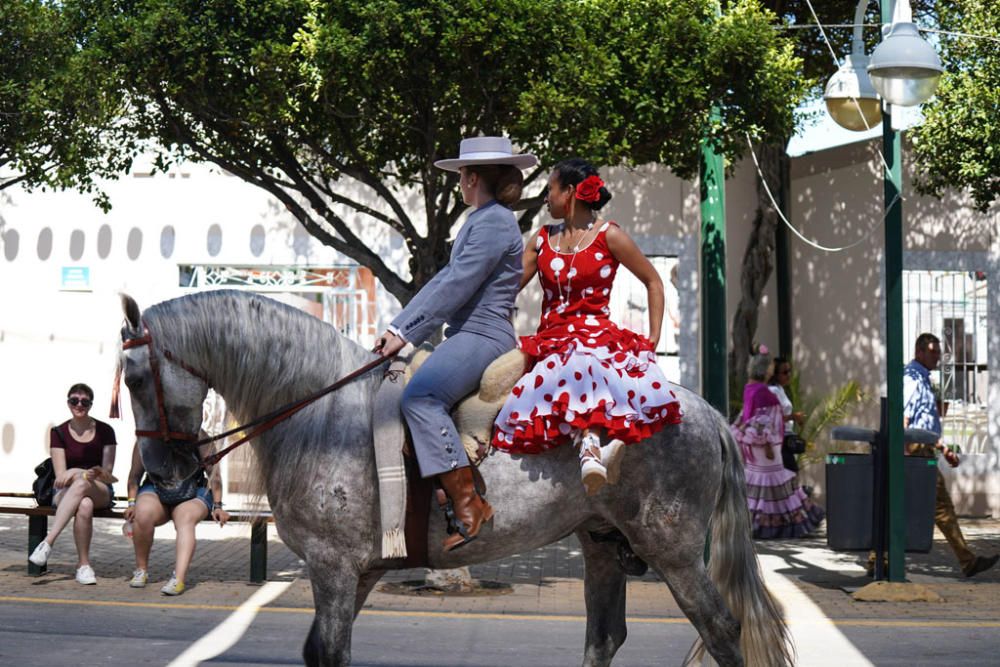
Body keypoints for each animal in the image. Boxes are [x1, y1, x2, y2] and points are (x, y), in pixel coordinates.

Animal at [117, 292, 788, 667]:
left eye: (134, 379)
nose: (163, 475)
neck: (322, 411)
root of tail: (702, 411)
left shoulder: (333, 566)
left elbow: (330, 652)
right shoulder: (359, 572)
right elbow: (322, 652)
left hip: (673, 550)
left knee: (722, 630)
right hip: (603, 544)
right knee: (604, 639)